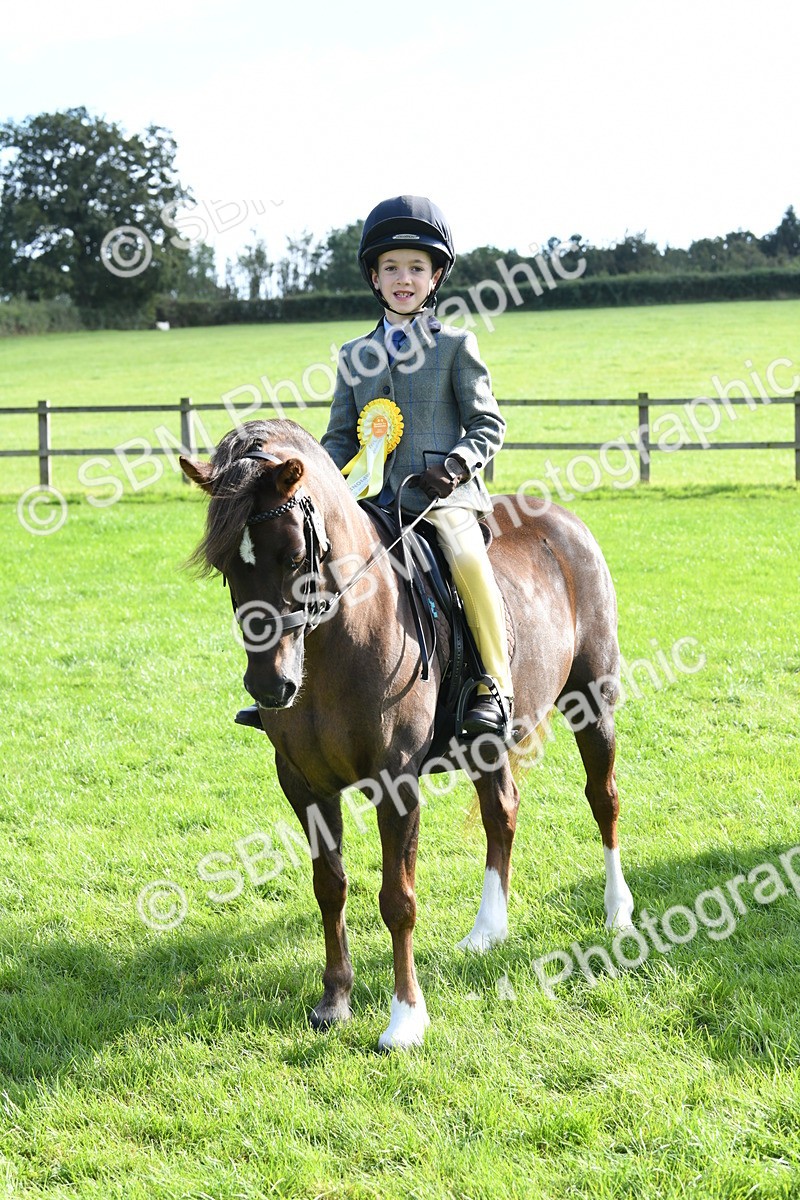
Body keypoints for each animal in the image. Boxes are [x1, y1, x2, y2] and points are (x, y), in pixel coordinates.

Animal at [180, 418, 634, 1050]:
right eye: (227, 565)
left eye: (294, 555)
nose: (270, 686)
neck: (337, 643)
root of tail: (565, 522)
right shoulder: (303, 783)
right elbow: (330, 887)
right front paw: (335, 1000)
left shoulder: (395, 783)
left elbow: (397, 899)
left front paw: (405, 1018)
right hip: (485, 741)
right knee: (502, 811)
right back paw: (487, 930)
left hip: (593, 701)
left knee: (602, 798)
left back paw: (617, 911)